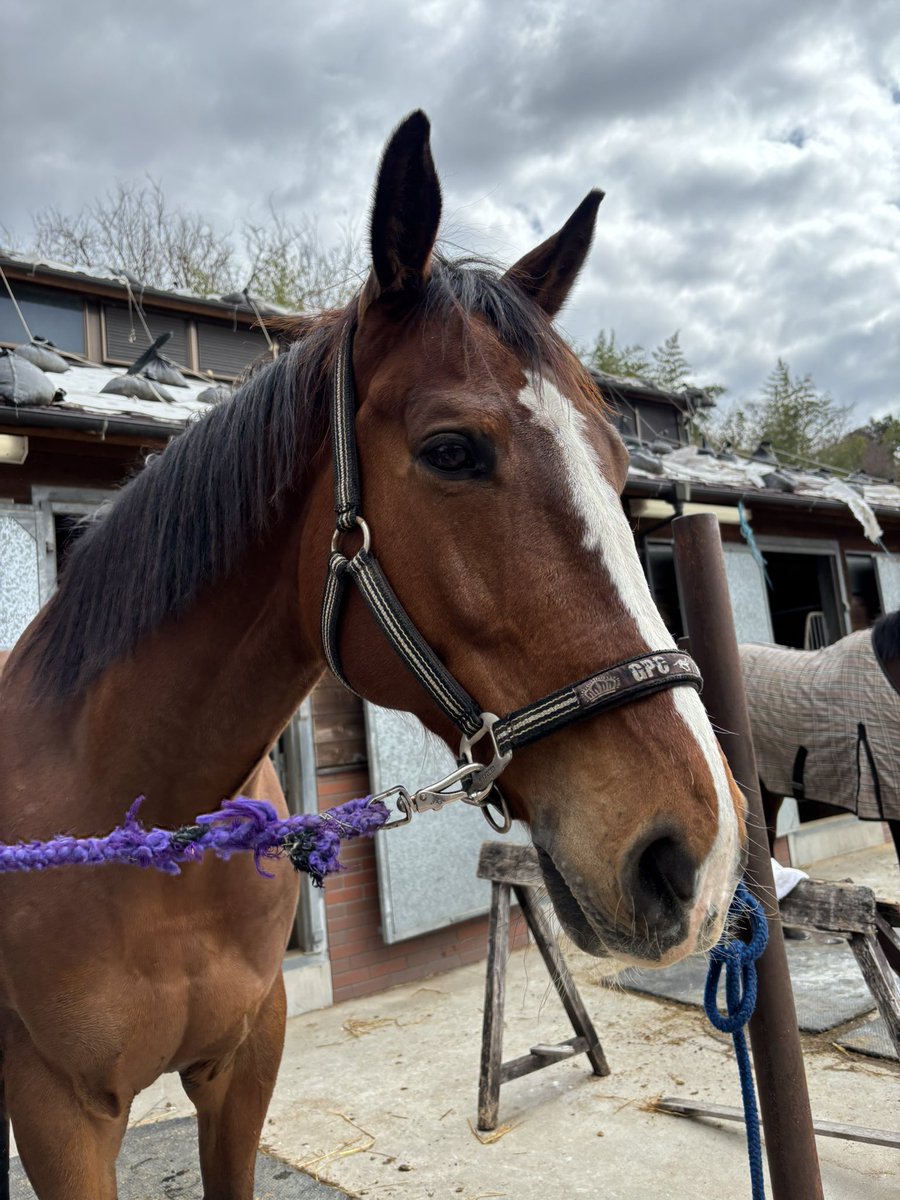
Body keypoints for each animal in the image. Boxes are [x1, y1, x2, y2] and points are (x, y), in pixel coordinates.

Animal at [0, 111, 744, 1199]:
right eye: (451, 450)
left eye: (617, 464)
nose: (698, 853)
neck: (142, 831)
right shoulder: (61, 1115)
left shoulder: (243, 1066)